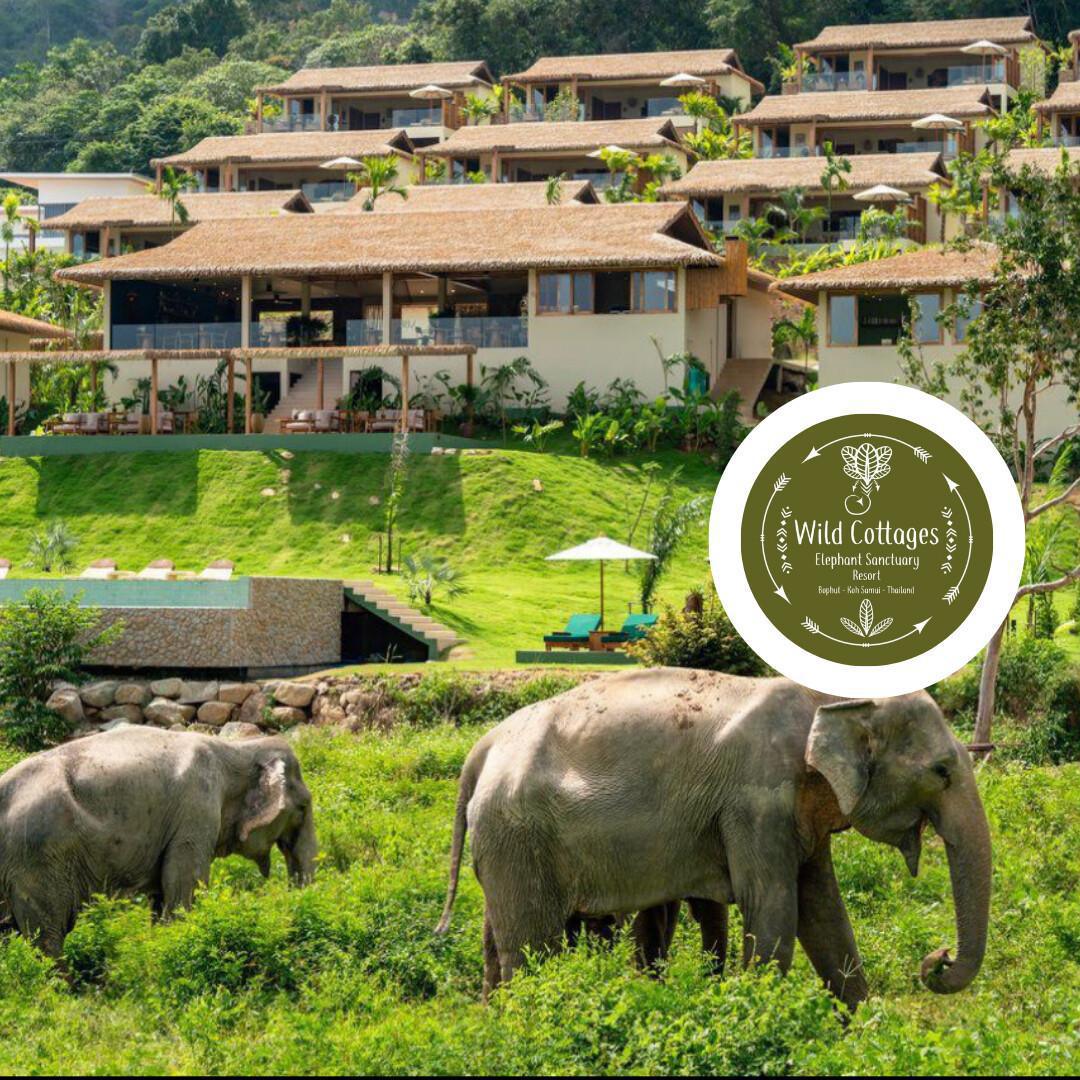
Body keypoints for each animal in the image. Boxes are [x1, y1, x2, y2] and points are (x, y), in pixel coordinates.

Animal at [0, 727, 317, 956]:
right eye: (303, 807)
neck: (237, 748)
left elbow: (163, 894)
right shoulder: (196, 812)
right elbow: (183, 887)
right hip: (38, 860)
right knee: (49, 935)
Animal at [435, 669, 991, 1009]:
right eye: (942, 771)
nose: (937, 958)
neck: (824, 697)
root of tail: (484, 748)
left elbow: (824, 912)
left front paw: (864, 1034)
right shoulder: (756, 800)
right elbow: (773, 911)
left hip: (507, 844)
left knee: (496, 944)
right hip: (516, 836)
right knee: (532, 951)